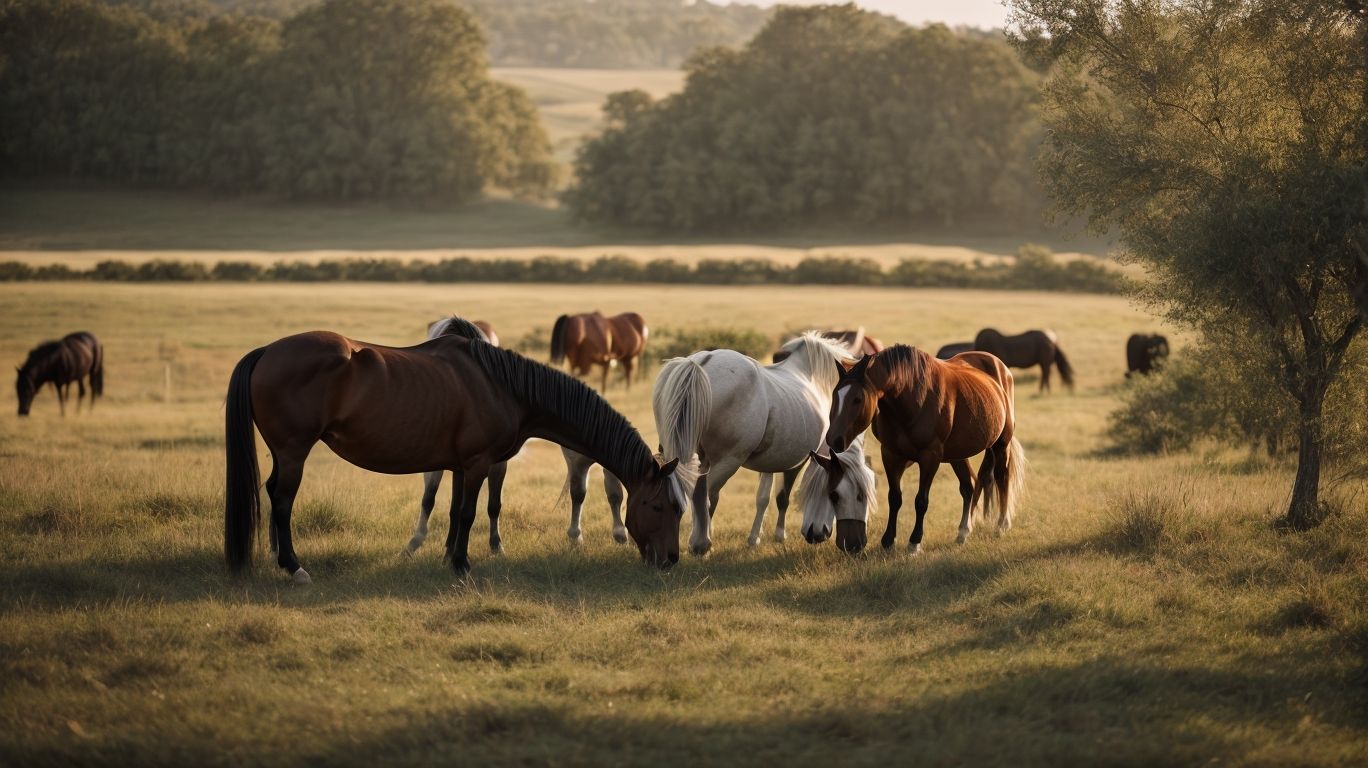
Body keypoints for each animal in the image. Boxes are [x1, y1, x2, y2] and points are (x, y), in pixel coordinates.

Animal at [652, 332, 853, 556]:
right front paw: (779, 535)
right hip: (728, 462)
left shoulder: (770, 461)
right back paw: (701, 544)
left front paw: (754, 538)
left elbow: (762, 498)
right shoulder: (799, 461)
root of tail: (700, 362)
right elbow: (783, 497)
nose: (819, 535)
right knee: (705, 497)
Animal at [826, 346, 1025, 553]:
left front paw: (914, 542)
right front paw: (888, 540)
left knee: (1002, 478)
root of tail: (1001, 368)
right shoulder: (890, 454)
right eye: (835, 395)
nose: (833, 439)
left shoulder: (930, 457)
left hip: (1001, 444)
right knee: (968, 486)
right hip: (958, 455)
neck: (913, 399)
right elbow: (894, 498)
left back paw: (1001, 525)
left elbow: (921, 501)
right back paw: (963, 532)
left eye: (857, 399)